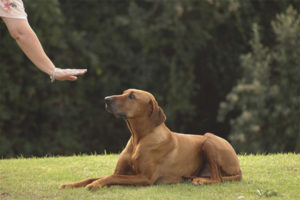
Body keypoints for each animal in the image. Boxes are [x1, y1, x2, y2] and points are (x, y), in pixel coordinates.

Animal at [59, 88, 241, 190]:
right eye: (123, 93)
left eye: (132, 96)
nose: (106, 99)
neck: (138, 139)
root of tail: (239, 169)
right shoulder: (121, 171)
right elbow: (96, 176)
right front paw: (70, 184)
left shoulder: (145, 178)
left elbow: (111, 177)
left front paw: (94, 185)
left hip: (209, 139)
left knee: (218, 178)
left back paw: (201, 181)